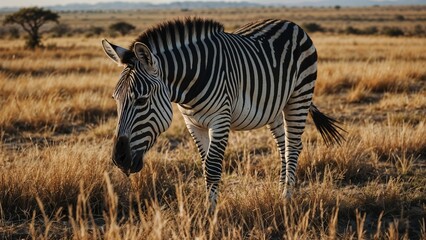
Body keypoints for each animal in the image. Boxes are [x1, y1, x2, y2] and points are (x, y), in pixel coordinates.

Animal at [101, 17, 344, 212]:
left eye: (141, 100)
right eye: (115, 99)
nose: (119, 159)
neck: (190, 82)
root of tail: (291, 24)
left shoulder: (220, 118)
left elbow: (213, 166)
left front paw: (211, 214)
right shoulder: (193, 123)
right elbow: (204, 164)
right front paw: (209, 207)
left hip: (299, 95)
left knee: (293, 146)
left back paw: (286, 198)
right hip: (275, 106)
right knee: (283, 146)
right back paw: (280, 190)